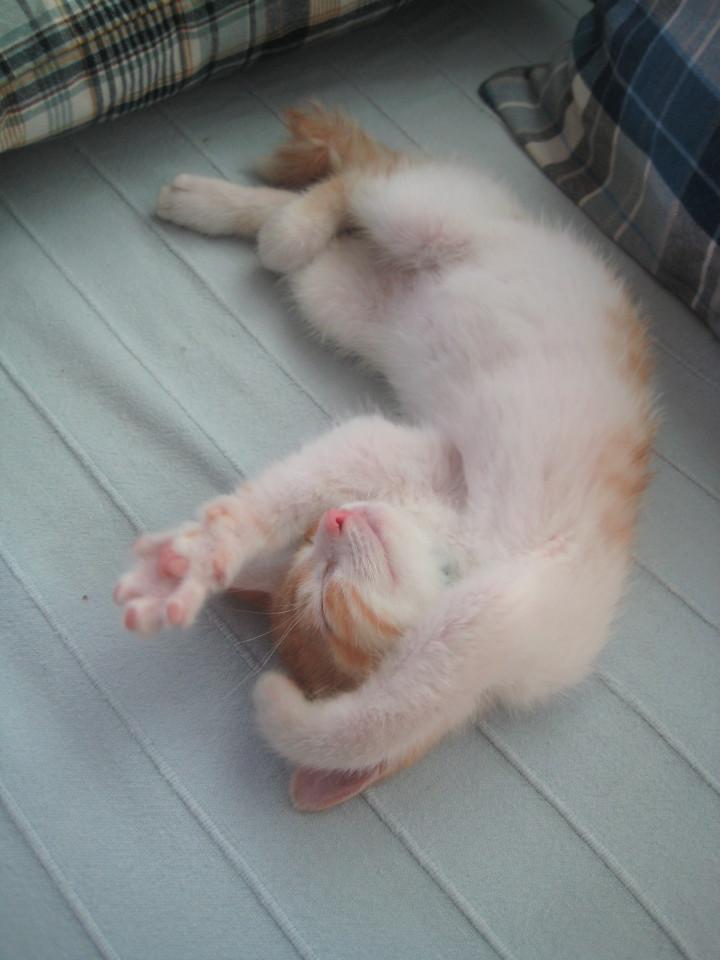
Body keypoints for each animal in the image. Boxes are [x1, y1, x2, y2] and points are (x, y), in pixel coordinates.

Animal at [114, 104, 657, 811]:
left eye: (323, 594)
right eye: (312, 552)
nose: (335, 520)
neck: (459, 547)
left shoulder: (492, 625)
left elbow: (384, 717)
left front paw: (273, 699)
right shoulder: (414, 464)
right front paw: (208, 550)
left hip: (417, 231)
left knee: (358, 188)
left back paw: (258, 212)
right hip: (345, 293)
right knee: (340, 203)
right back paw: (224, 205)